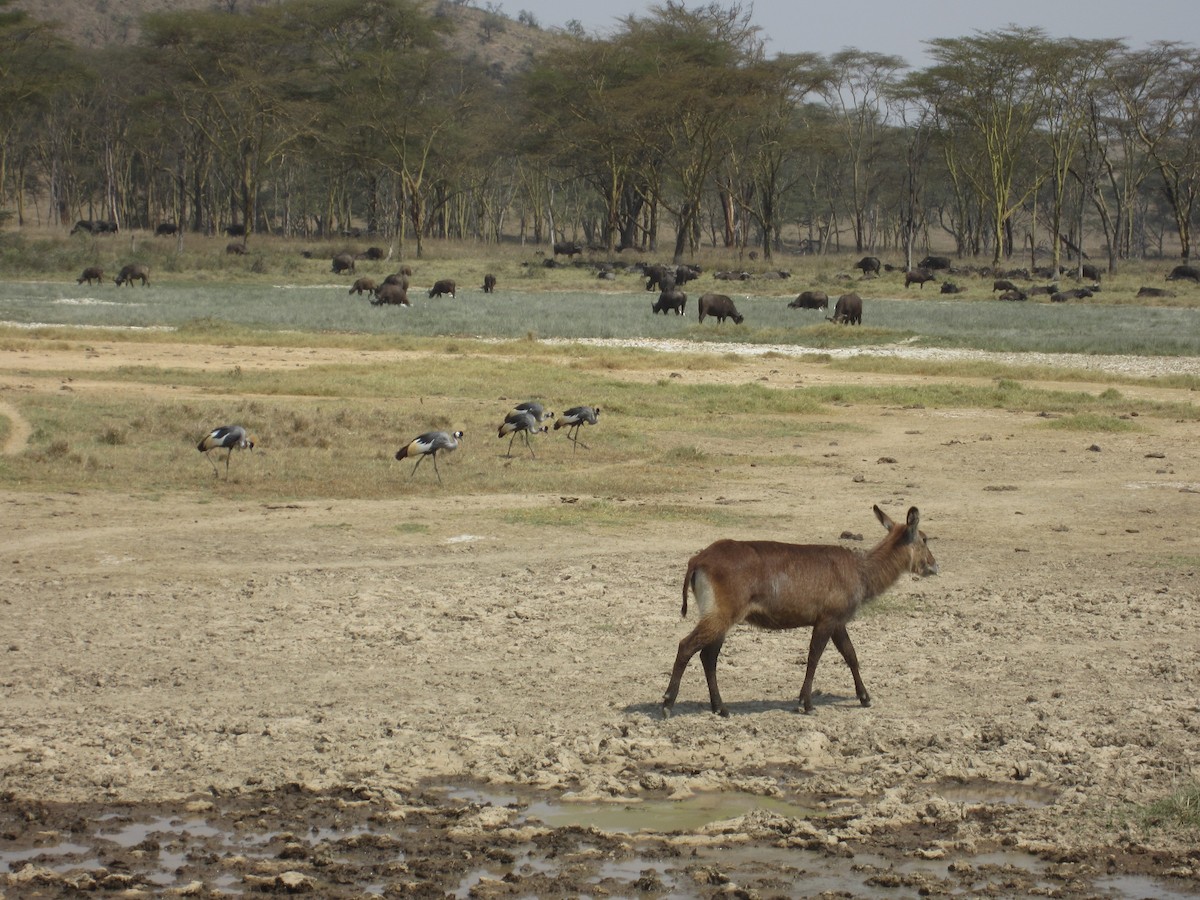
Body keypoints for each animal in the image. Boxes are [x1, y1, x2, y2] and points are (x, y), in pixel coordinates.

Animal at [662, 508, 931, 720]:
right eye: (925, 539)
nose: (934, 565)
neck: (861, 570)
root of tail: (699, 558)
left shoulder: (838, 623)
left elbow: (851, 655)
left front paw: (864, 697)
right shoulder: (827, 620)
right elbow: (814, 658)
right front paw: (806, 704)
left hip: (719, 619)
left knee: (708, 656)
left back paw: (721, 708)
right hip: (720, 616)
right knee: (687, 646)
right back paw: (667, 704)